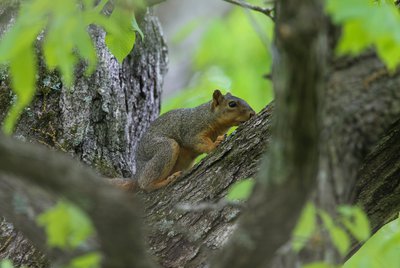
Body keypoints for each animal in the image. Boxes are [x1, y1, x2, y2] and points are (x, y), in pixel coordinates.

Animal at [110, 91, 253, 192]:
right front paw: (214, 145)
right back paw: (165, 181)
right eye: (232, 104)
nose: (252, 114)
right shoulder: (192, 130)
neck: (207, 115)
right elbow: (196, 141)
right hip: (164, 148)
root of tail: (137, 173)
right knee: (145, 183)